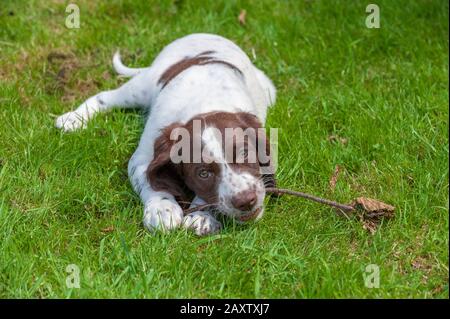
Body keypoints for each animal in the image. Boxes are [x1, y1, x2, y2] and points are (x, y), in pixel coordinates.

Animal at [54, 33, 276, 236]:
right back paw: (73, 119)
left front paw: (200, 216)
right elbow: (152, 182)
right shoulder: (142, 158)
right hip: (142, 87)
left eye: (245, 154)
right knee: (104, 97)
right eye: (203, 173)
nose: (246, 201)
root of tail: (203, 34)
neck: (206, 104)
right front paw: (162, 209)